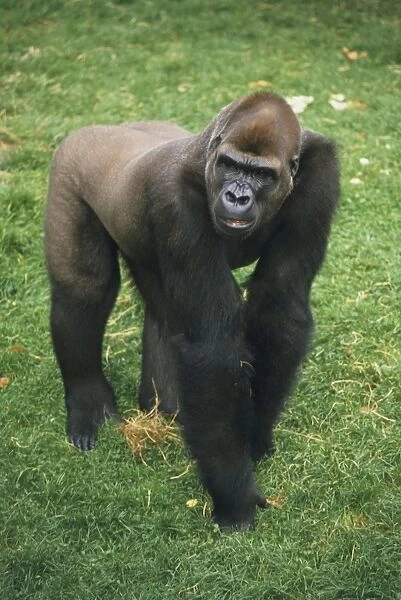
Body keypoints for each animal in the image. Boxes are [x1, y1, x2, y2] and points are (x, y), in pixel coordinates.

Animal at [44, 92, 338, 528]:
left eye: (262, 175)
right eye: (230, 165)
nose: (237, 196)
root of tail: (111, 128)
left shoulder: (320, 175)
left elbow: (279, 306)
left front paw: (255, 438)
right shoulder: (175, 198)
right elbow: (214, 346)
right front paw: (234, 498)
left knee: (163, 313)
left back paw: (163, 405)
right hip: (70, 163)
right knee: (83, 289)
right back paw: (88, 402)